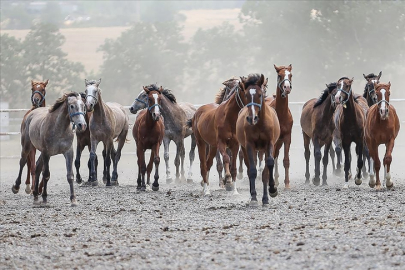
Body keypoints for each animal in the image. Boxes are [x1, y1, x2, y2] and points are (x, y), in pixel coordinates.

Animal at [235, 73, 280, 206]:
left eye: (260, 94)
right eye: (246, 95)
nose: (252, 118)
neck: (260, 124)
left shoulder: (270, 144)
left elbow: (268, 166)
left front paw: (272, 190)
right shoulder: (249, 145)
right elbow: (252, 170)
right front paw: (254, 197)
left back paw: (265, 197)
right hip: (247, 149)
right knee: (250, 167)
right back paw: (252, 195)